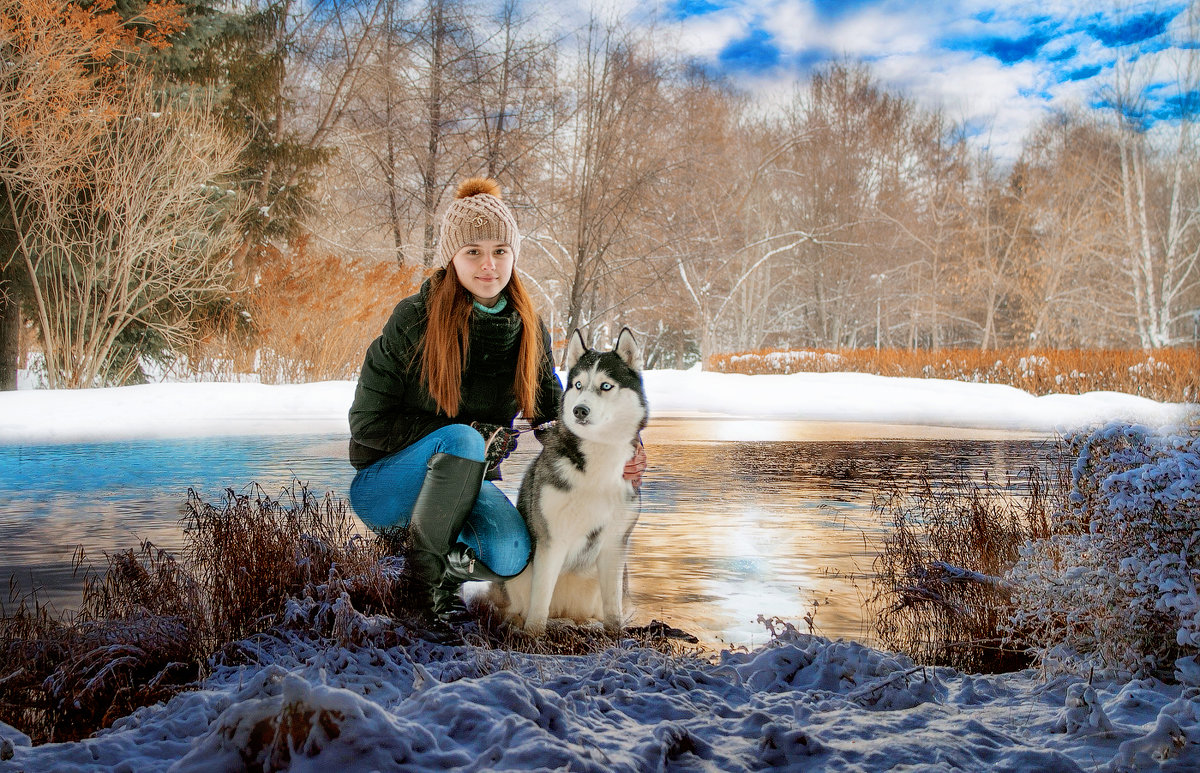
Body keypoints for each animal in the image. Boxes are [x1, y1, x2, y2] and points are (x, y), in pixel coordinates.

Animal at [492, 326, 652, 633]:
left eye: (605, 386)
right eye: (578, 385)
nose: (580, 410)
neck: (598, 459)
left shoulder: (615, 543)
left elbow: (612, 606)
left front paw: (616, 635)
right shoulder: (552, 540)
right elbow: (539, 602)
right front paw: (532, 636)